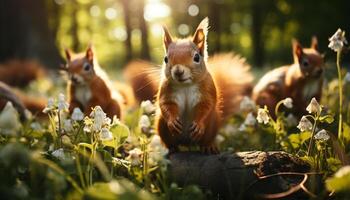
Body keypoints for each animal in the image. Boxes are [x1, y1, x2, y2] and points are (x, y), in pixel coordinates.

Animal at [155, 18, 252, 153]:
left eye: (196, 57)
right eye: (165, 59)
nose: (178, 71)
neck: (185, 86)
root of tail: (188, 144)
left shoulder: (207, 88)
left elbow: (206, 105)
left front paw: (198, 125)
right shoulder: (166, 89)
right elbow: (165, 104)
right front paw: (173, 122)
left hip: (212, 124)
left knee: (205, 140)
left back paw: (208, 146)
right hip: (161, 125)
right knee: (170, 141)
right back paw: (172, 148)